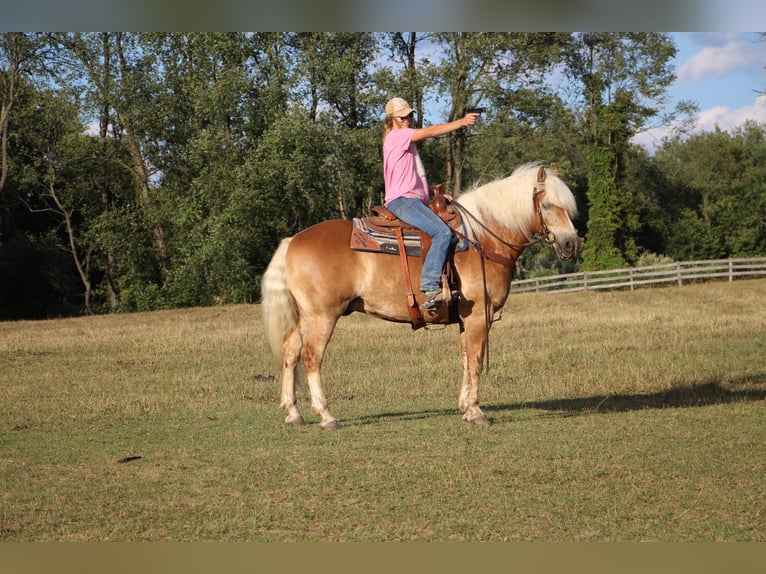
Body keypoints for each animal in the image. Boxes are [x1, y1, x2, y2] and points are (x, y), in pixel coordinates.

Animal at [260, 164, 580, 430]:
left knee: (290, 352)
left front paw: (465, 407)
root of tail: (293, 240)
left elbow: (465, 358)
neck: (483, 238)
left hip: (306, 316)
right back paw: (326, 416)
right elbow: (476, 360)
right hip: (322, 316)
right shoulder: (480, 315)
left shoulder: (465, 319)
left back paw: (294, 413)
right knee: (311, 357)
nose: (570, 244)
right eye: (548, 204)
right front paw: (476, 411)